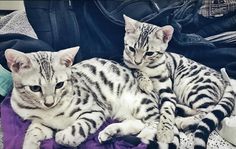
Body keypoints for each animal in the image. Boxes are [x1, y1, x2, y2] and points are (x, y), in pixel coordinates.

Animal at [4, 47, 180, 149]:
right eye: (35, 88)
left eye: (59, 85)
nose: (49, 102)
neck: (49, 112)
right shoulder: (40, 122)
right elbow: (32, 133)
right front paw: (30, 144)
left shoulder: (94, 109)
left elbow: (80, 126)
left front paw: (64, 137)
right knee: (137, 123)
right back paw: (111, 131)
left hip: (142, 103)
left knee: (155, 123)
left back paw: (142, 136)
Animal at [122, 15, 235, 149]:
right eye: (131, 49)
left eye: (149, 53)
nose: (137, 61)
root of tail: (224, 79)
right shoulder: (127, 63)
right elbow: (135, 70)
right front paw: (146, 82)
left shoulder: (167, 89)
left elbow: (167, 110)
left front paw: (165, 132)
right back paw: (180, 111)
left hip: (193, 88)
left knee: (209, 110)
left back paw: (182, 121)